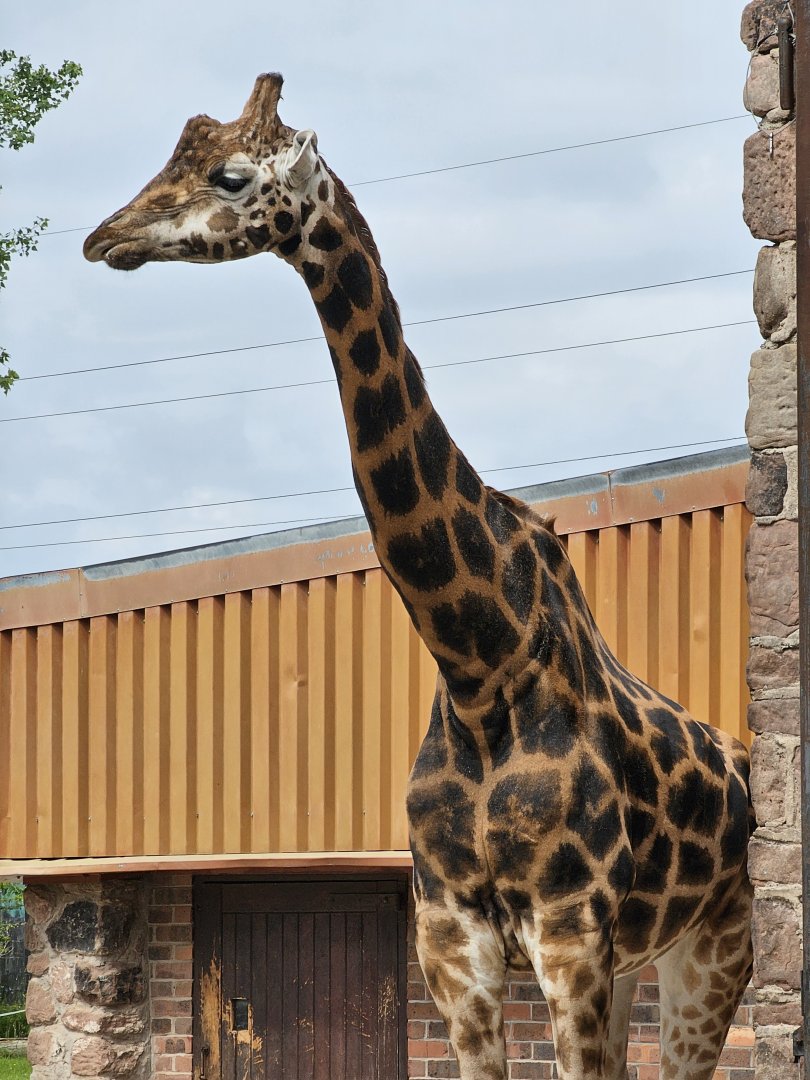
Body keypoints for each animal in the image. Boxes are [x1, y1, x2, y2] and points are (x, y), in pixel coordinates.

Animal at [83, 74, 754, 1080]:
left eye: (232, 175)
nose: (103, 238)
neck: (482, 665)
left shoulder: (571, 933)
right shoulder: (452, 942)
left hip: (714, 945)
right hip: (643, 955)